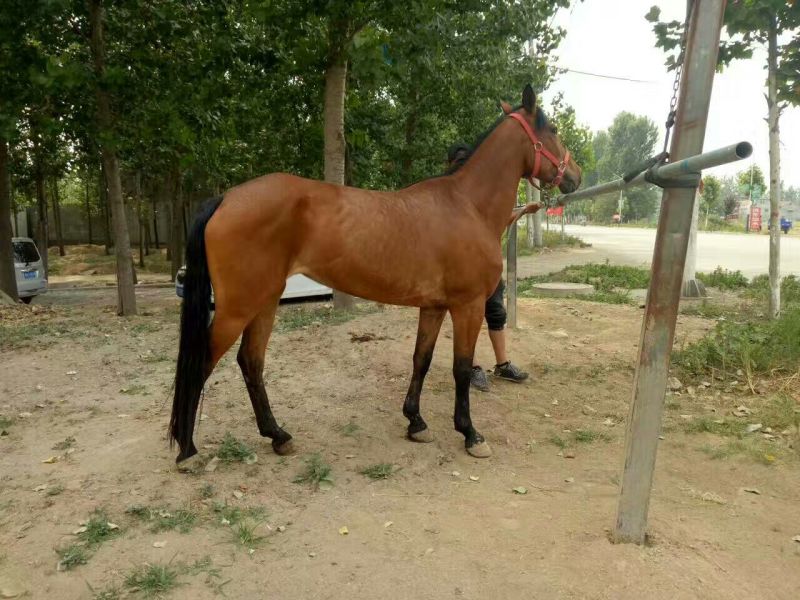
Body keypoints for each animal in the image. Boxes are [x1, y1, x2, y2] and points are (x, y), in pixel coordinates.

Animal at [169, 84, 581, 464]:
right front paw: (470, 434)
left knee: (251, 362)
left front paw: (415, 422)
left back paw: (277, 435)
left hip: (265, 302)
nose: (575, 176)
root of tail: (226, 198)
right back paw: (187, 448)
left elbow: (421, 360)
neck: (468, 206)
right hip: (238, 308)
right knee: (203, 362)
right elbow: (461, 368)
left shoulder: (434, 306)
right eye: (554, 129)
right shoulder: (468, 306)